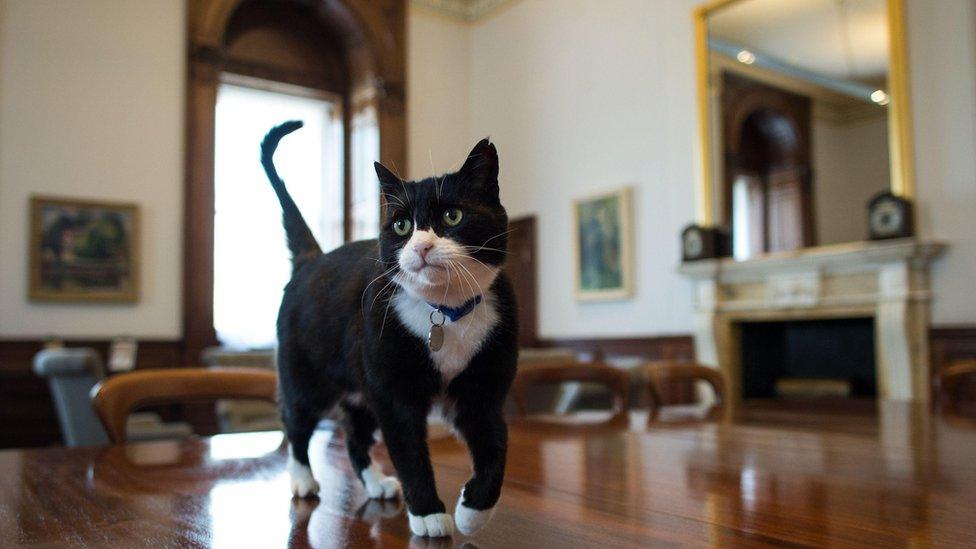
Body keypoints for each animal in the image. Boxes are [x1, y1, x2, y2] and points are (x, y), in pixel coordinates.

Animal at [260, 120, 520, 536]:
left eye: (453, 216)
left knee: (355, 436)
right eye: (401, 224)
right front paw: (429, 513)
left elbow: (496, 447)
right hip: (307, 377)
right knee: (296, 423)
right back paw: (302, 479)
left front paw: (474, 511)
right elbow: (410, 452)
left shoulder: (482, 392)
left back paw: (375, 482)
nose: (422, 247)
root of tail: (311, 259)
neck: (445, 312)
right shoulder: (393, 393)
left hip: (359, 388)